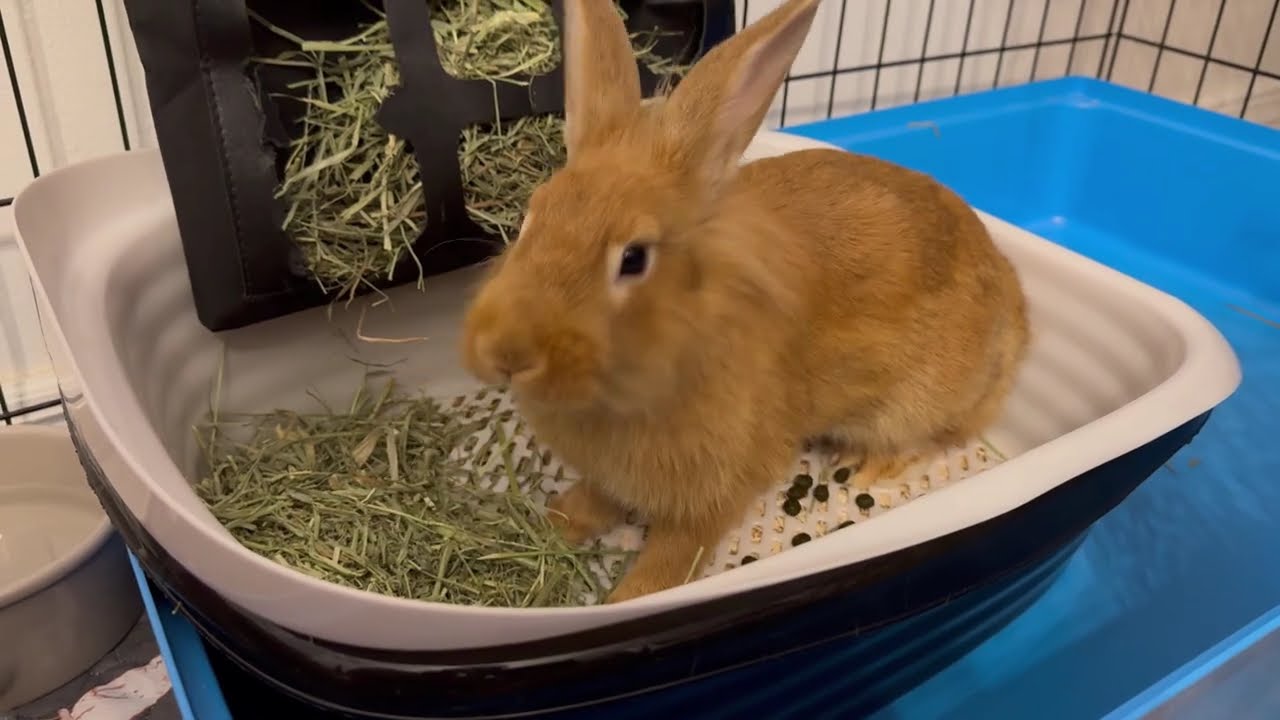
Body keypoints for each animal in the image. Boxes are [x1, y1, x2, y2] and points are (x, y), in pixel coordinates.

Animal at [459, 0, 1030, 604]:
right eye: (530, 219)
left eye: (634, 258)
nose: (506, 354)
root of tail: (1017, 315)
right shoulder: (612, 476)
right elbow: (598, 499)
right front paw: (557, 521)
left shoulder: (713, 490)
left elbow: (674, 554)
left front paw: (630, 596)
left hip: (914, 403)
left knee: (929, 436)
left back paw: (864, 464)